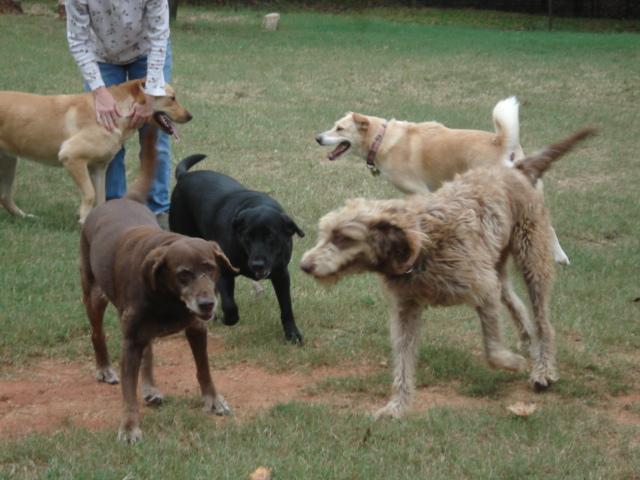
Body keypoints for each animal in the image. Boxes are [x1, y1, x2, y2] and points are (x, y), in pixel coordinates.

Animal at [170, 156, 304, 344]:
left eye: (271, 236)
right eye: (248, 236)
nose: (257, 264)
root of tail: (184, 176)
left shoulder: (281, 274)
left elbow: (286, 307)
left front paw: (292, 334)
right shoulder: (225, 273)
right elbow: (230, 306)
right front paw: (225, 318)